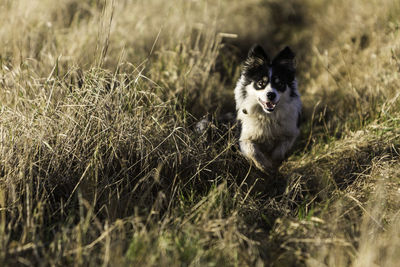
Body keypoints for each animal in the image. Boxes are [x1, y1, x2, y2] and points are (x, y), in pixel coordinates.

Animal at [233, 44, 302, 174]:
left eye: (280, 83)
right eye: (261, 83)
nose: (271, 95)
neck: (268, 116)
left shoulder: (290, 132)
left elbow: (281, 148)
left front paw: (273, 162)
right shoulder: (245, 137)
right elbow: (252, 150)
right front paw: (264, 166)